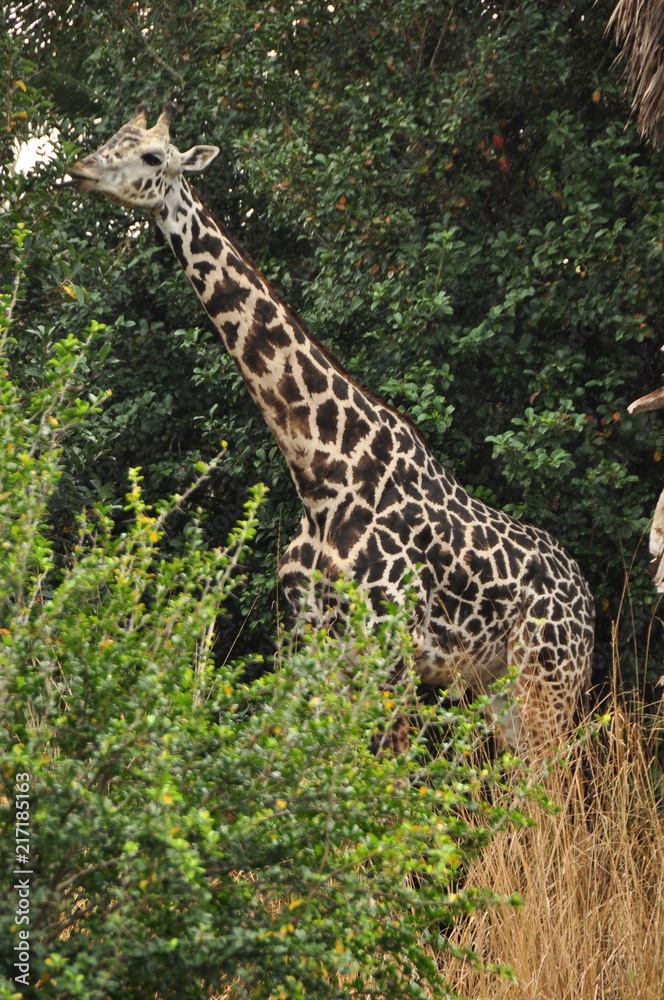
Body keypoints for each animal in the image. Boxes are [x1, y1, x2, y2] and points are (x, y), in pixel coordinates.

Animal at [62, 103, 595, 753]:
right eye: (112, 137)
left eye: (153, 157)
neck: (320, 470)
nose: (82, 169)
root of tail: (589, 602)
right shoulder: (306, 637)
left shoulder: (392, 643)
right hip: (500, 688)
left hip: (549, 681)